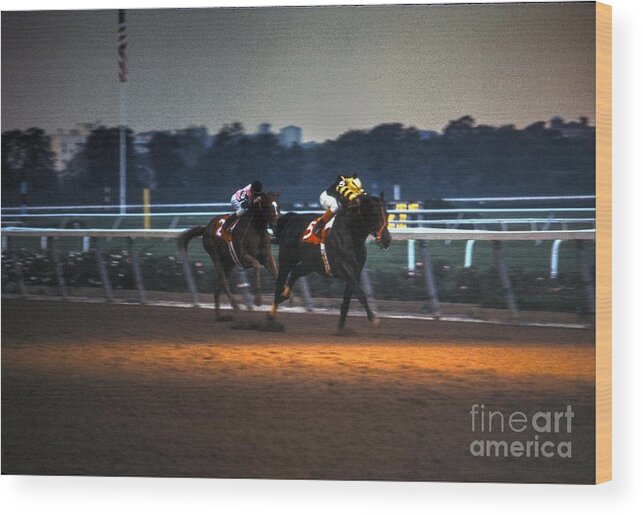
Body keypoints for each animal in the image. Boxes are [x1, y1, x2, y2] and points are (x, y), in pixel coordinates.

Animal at [182, 190, 280, 318]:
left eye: (278, 207)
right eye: (268, 206)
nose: (276, 225)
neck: (256, 229)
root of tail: (206, 227)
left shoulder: (267, 257)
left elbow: (276, 273)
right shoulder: (243, 258)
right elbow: (257, 266)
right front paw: (258, 299)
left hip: (228, 263)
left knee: (217, 286)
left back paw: (219, 316)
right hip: (215, 257)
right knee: (223, 282)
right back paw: (235, 306)